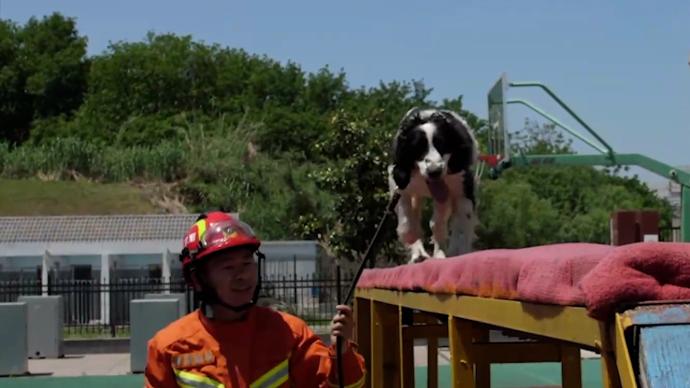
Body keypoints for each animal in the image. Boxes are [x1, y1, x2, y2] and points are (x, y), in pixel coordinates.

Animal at [388, 107, 478, 262]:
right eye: (417, 148)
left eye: (442, 145)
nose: (434, 171)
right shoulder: (400, 185)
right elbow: (407, 223)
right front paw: (417, 253)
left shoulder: (460, 186)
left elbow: (444, 223)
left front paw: (447, 253)